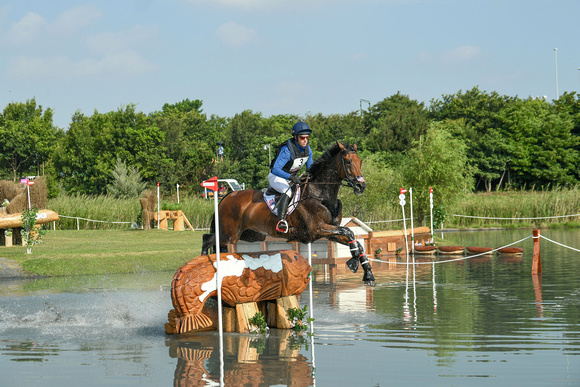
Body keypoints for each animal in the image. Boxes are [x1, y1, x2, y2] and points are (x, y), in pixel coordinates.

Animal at [202, 142, 376, 288]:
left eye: (360, 161)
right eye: (348, 162)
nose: (361, 186)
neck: (320, 193)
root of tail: (227, 196)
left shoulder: (331, 231)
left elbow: (354, 240)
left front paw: (367, 274)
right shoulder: (317, 230)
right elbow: (349, 231)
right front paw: (354, 263)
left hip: (250, 235)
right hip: (229, 234)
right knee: (207, 239)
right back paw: (203, 265)